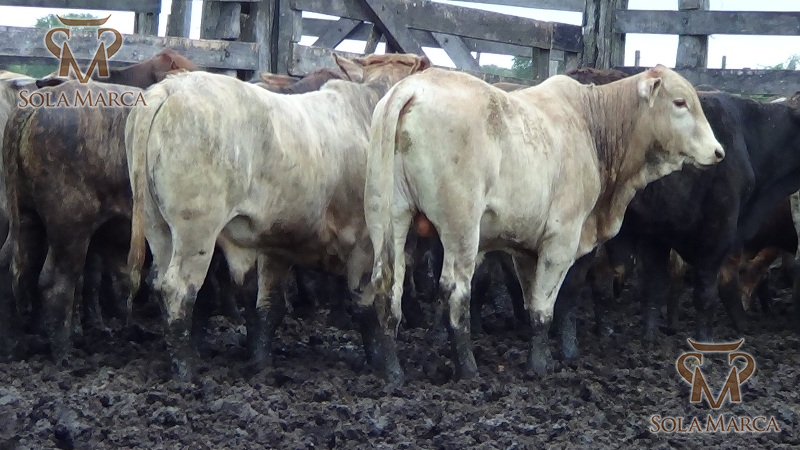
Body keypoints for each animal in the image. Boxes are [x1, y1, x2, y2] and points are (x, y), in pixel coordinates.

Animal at [124, 53, 432, 380]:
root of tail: (169, 88)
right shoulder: (365, 242)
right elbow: (372, 306)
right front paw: (390, 370)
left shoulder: (277, 245)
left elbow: (268, 307)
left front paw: (260, 363)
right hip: (196, 232)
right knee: (178, 289)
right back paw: (186, 370)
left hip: (157, 228)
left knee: (159, 283)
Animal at [363, 64, 724, 386]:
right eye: (680, 102)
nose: (718, 152)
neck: (592, 127)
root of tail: (412, 87)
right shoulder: (561, 240)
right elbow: (542, 309)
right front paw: (538, 366)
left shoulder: (524, 249)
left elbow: (530, 299)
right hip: (461, 229)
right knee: (455, 291)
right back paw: (468, 369)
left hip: (388, 217)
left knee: (387, 286)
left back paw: (392, 372)